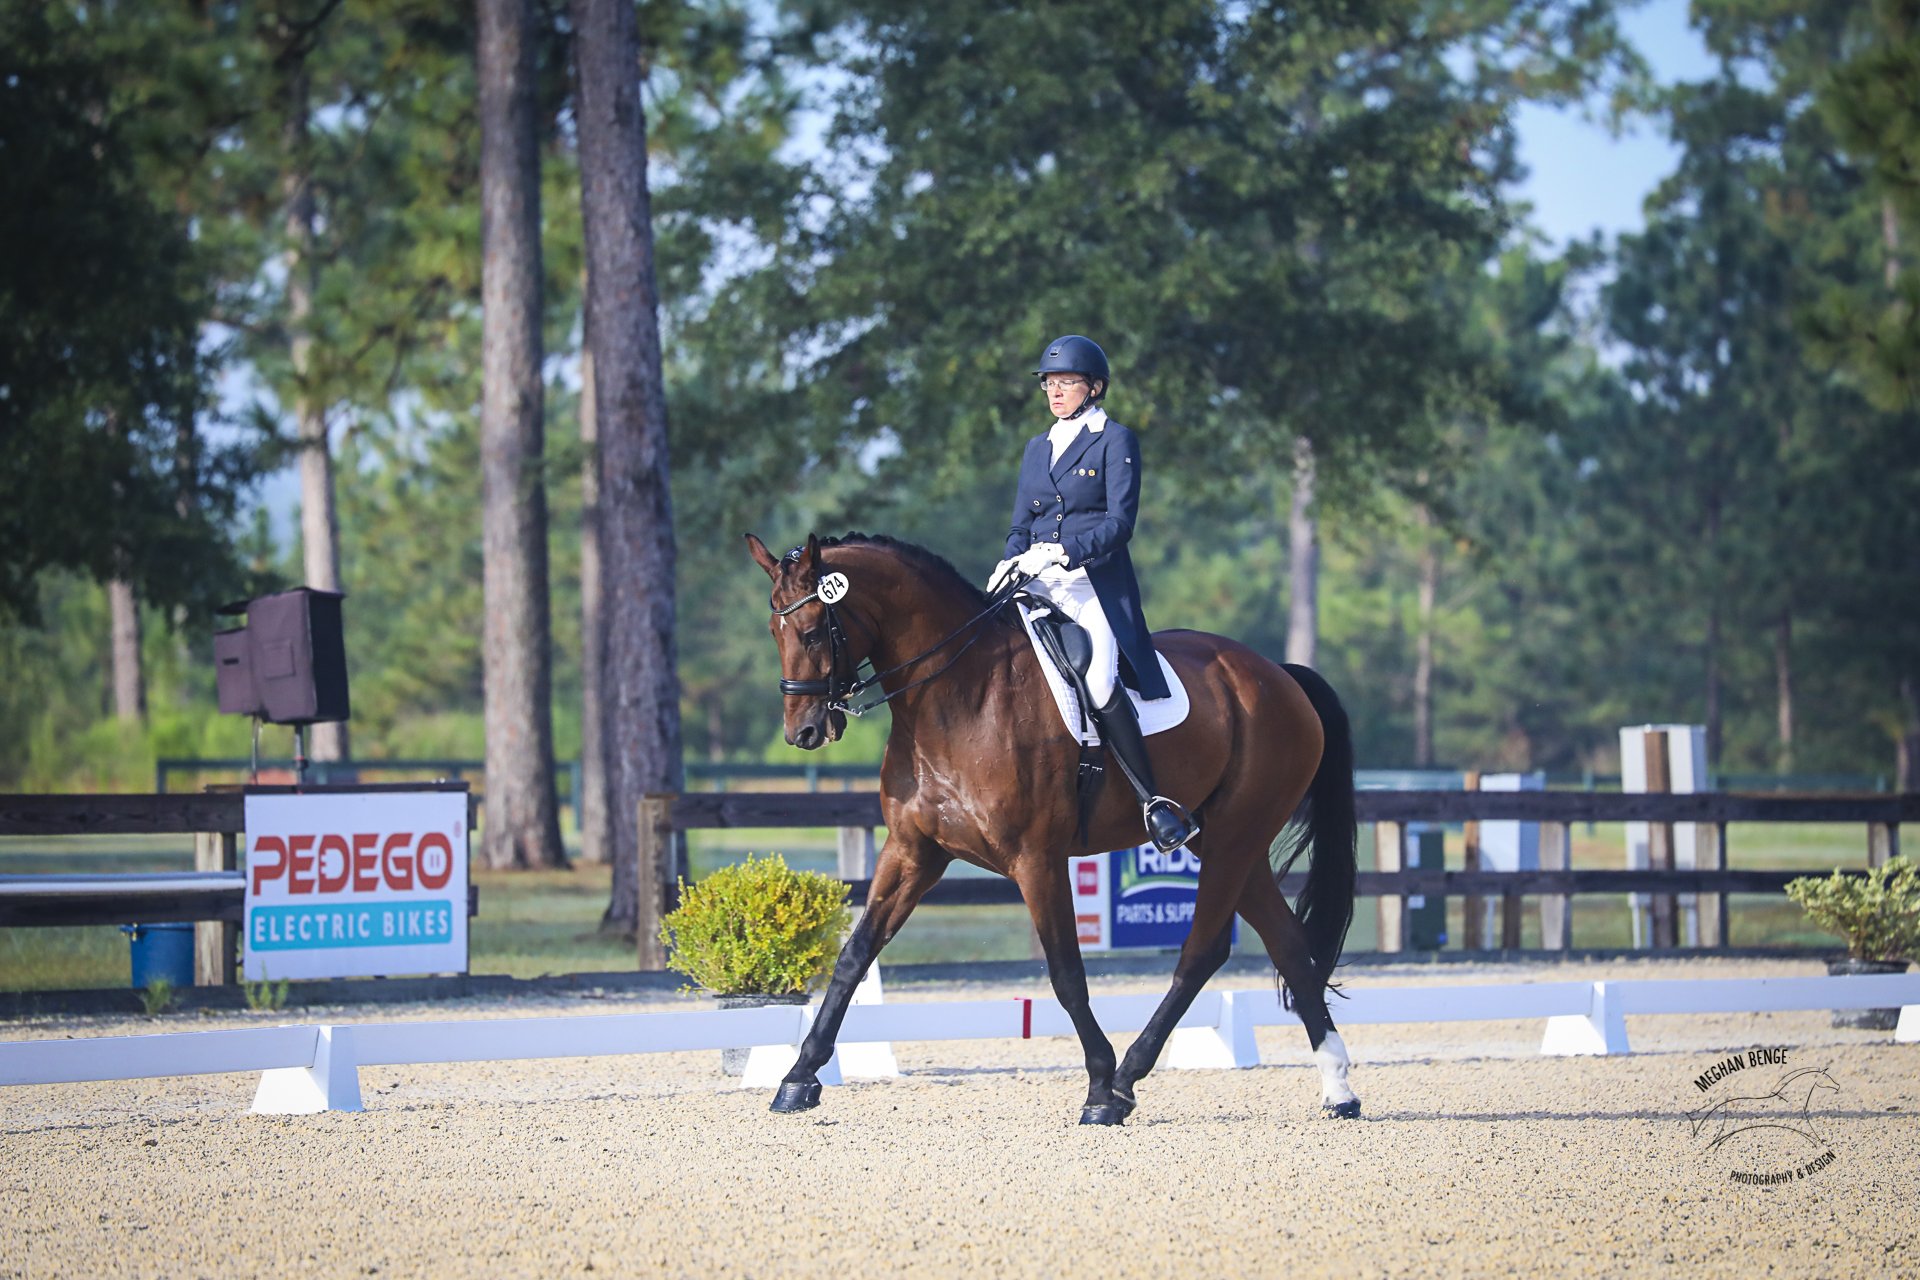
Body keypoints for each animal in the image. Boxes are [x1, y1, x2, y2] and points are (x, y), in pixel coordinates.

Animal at [741, 529, 1359, 1120]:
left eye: (814, 632)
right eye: (773, 631)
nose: (803, 732)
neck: (957, 696)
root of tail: (1279, 675)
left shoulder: (1035, 858)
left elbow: (1066, 973)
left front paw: (1099, 1089)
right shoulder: (913, 852)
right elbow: (854, 956)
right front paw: (797, 1079)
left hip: (1234, 836)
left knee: (1201, 953)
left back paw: (1127, 1078)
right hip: (1228, 842)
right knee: (1287, 946)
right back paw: (1338, 1089)